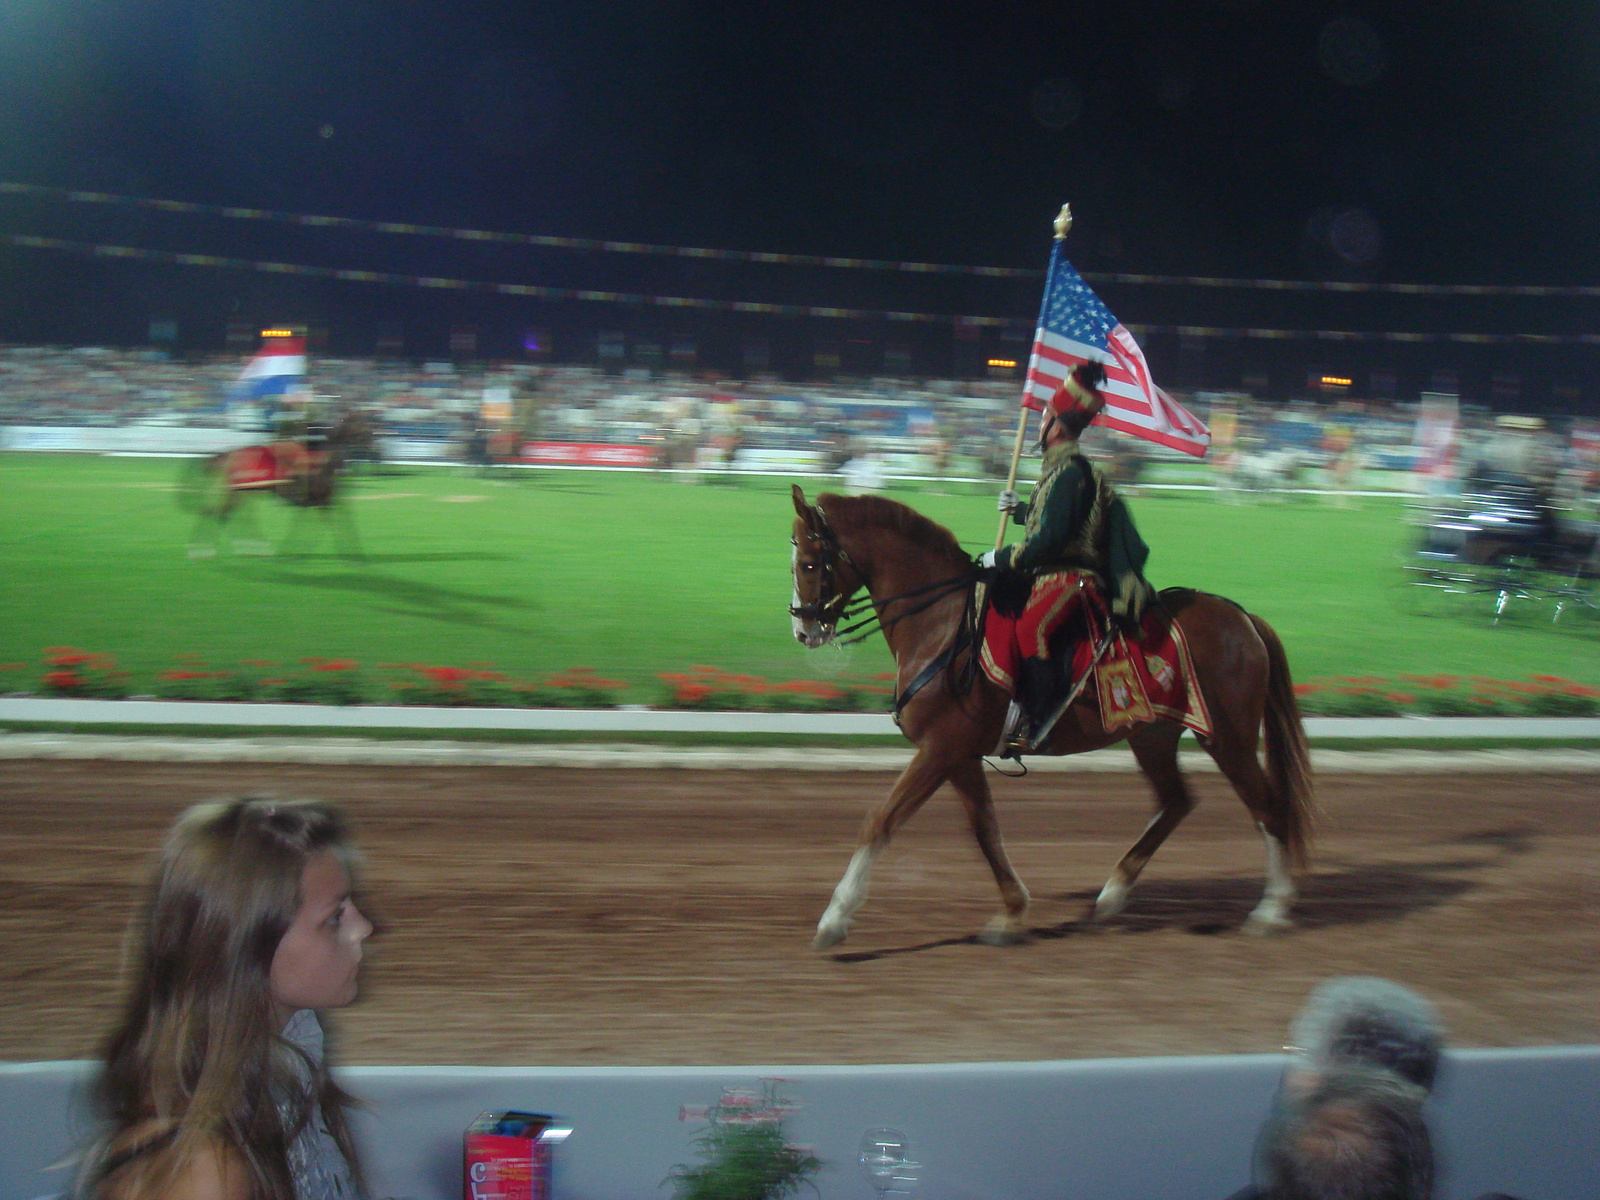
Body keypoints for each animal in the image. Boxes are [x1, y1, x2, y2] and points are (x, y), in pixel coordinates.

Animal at [179, 412, 371, 556]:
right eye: (358, 422)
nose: (371, 436)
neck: (323, 462)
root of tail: (229, 455)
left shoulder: (321, 501)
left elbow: (337, 523)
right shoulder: (320, 500)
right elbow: (338, 525)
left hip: (243, 492)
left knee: (221, 514)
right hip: (238, 492)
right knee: (219, 513)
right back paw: (209, 549)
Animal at [787, 486, 1312, 947]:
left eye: (809, 562)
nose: (803, 627)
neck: (943, 624)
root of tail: (1243, 618)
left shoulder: (941, 748)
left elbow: (881, 819)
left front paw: (834, 919)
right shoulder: (959, 755)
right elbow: (985, 830)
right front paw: (1012, 913)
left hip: (1227, 738)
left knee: (1268, 807)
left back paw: (1271, 910)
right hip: (1152, 735)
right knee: (1177, 801)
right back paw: (1114, 893)